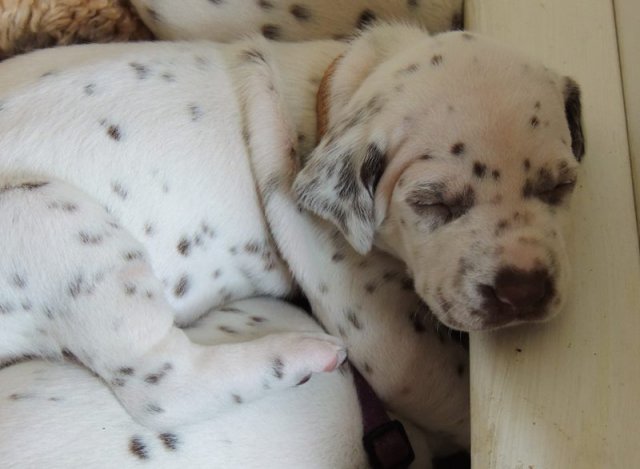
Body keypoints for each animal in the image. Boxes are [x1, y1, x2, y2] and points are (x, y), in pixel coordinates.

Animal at [0, 22, 583, 465]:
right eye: (432, 202)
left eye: (560, 185)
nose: (523, 291)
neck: (329, 94)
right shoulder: (391, 338)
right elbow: (448, 394)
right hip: (49, 217)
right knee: (161, 387)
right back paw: (300, 354)